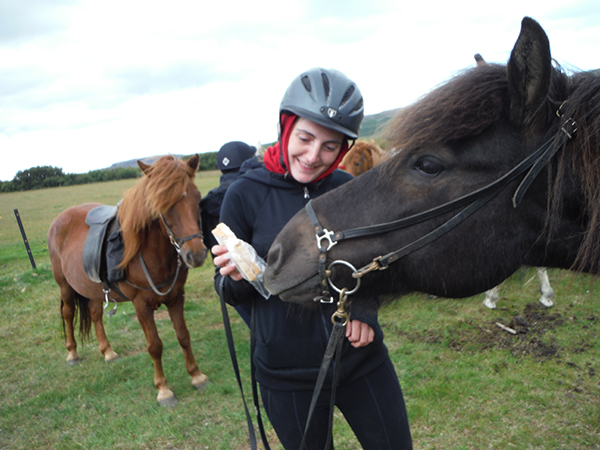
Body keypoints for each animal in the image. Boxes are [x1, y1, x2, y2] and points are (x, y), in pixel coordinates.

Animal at [48, 155, 210, 408]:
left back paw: (107, 351)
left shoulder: (176, 297)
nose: (196, 254)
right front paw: (164, 390)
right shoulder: (141, 304)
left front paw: (196, 375)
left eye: (196, 196)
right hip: (65, 286)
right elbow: (155, 346)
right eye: (162, 204)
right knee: (67, 313)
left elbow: (183, 336)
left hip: (92, 288)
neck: (150, 252)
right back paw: (72, 353)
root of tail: (59, 220)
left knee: (95, 313)